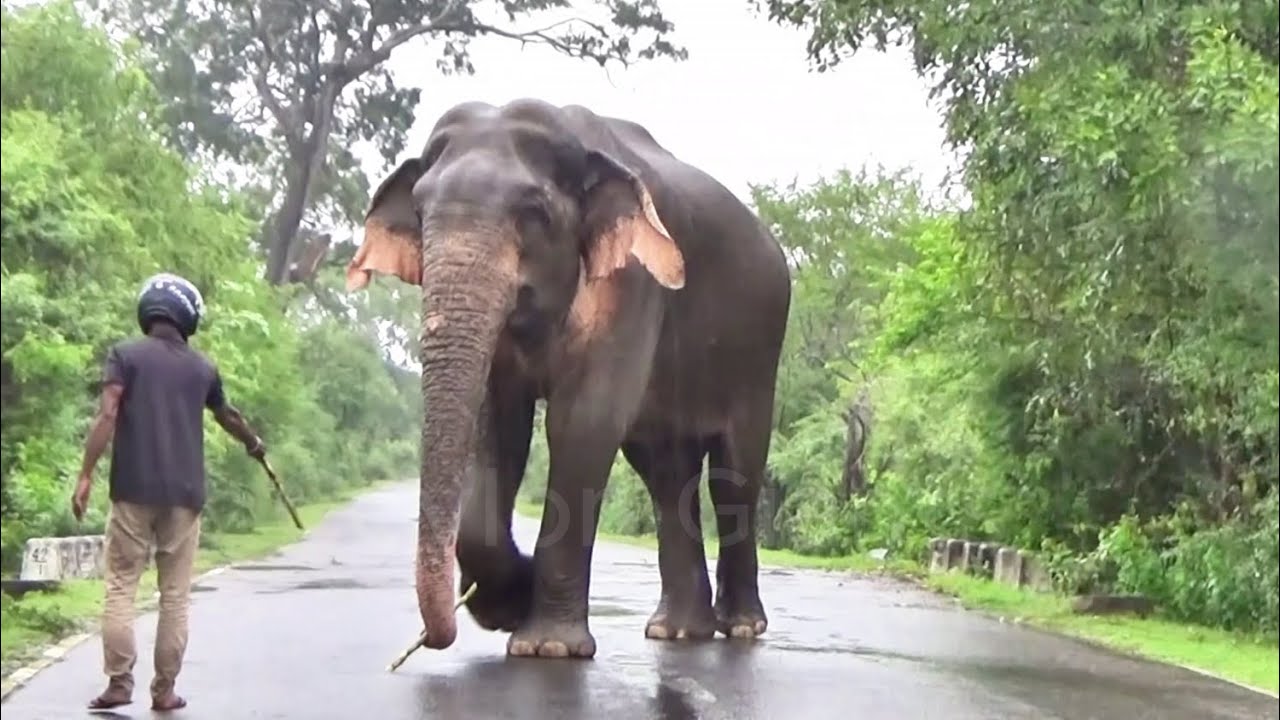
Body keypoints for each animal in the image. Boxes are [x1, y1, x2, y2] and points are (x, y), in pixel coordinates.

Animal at [344, 98, 791, 659]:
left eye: (534, 213)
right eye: (421, 214)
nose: (431, 639)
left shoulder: (632, 283)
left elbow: (582, 422)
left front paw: (548, 647)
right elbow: (498, 427)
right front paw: (508, 604)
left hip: (758, 349)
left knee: (734, 473)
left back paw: (741, 628)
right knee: (665, 473)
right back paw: (677, 631)